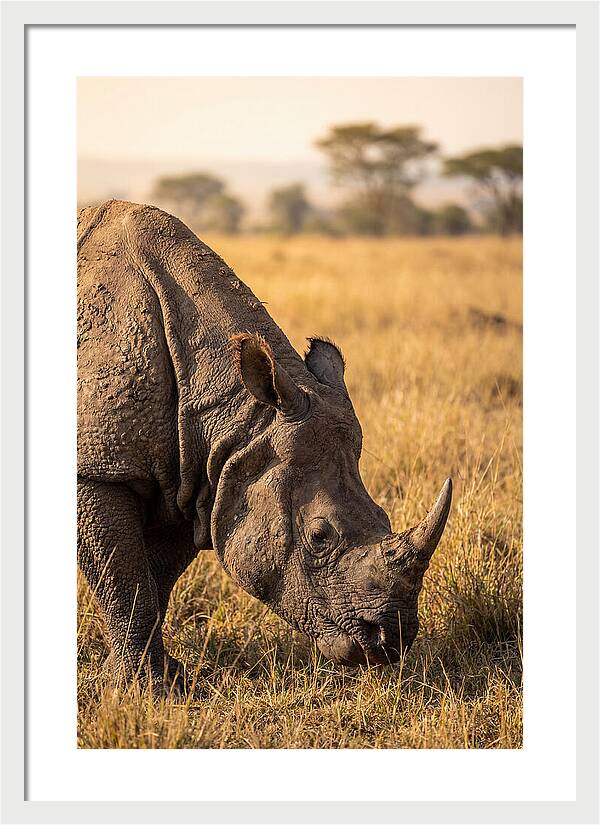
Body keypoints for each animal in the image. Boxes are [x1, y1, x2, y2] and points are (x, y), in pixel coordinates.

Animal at [77, 200, 452, 690]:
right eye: (319, 537)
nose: (390, 642)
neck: (238, 416)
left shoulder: (199, 476)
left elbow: (153, 579)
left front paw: (158, 678)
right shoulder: (100, 469)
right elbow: (125, 581)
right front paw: (147, 689)